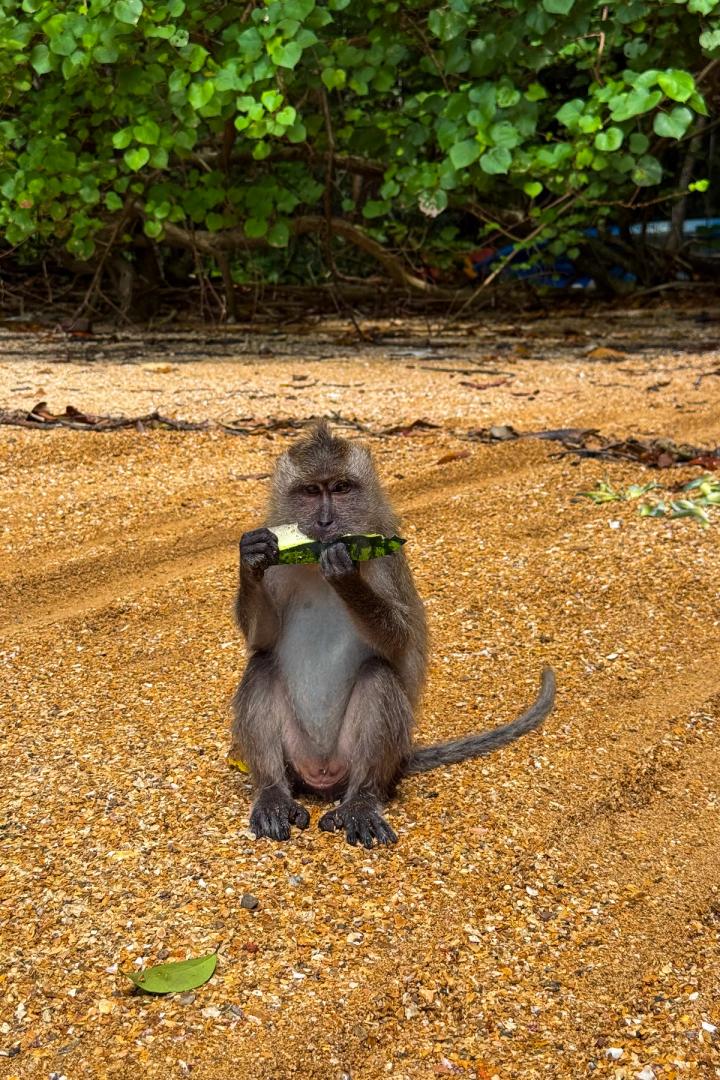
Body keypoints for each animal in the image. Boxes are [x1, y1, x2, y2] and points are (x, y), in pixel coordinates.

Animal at [231, 420, 555, 849]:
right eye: (310, 491)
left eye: (341, 488)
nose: (325, 522)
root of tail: (321, 776)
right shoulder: (278, 568)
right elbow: (262, 639)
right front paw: (250, 558)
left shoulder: (389, 559)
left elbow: (400, 642)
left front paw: (346, 574)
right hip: (295, 758)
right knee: (262, 666)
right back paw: (272, 793)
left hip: (359, 761)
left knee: (378, 678)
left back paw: (361, 801)